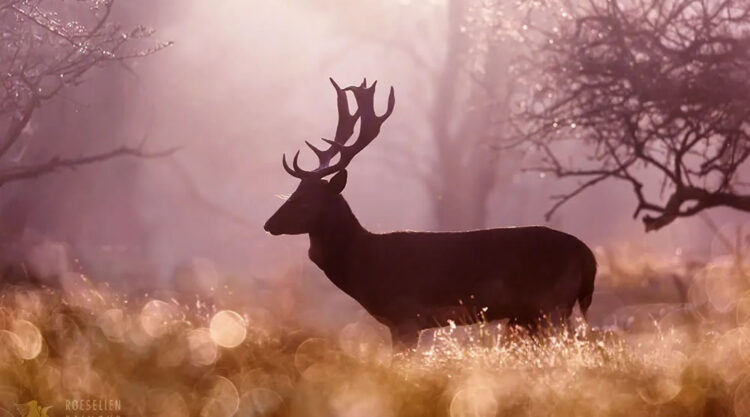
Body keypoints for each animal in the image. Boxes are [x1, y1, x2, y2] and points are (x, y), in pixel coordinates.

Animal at [266, 79, 600, 344]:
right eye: (293, 192)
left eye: (307, 200)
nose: (269, 224)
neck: (367, 266)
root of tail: (589, 257)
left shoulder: (406, 316)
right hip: (537, 313)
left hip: (552, 304)